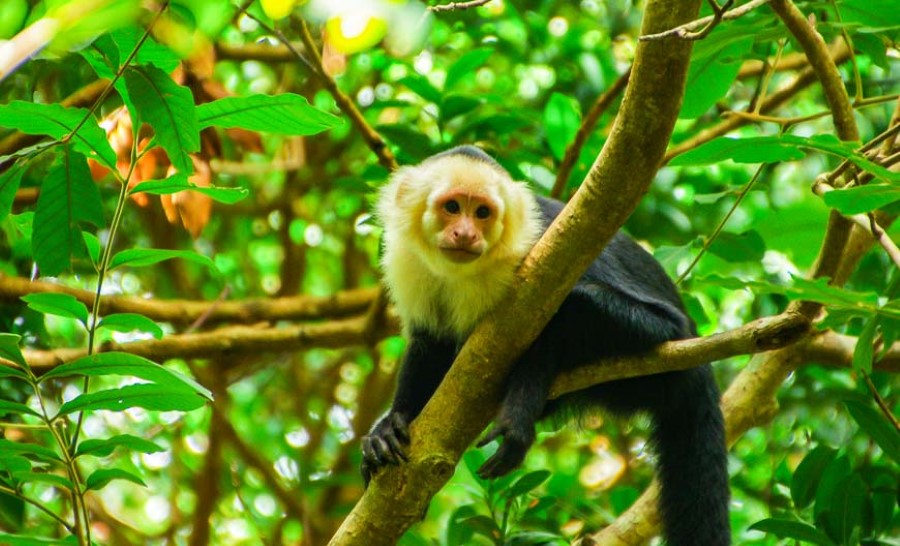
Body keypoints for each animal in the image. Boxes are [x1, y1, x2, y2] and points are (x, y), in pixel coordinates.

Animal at [360, 146, 732, 544]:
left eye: (482, 213)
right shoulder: (407, 260)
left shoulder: (544, 244)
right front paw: (391, 425)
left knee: (578, 304)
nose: (465, 233)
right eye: (452, 207)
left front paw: (518, 418)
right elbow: (429, 343)